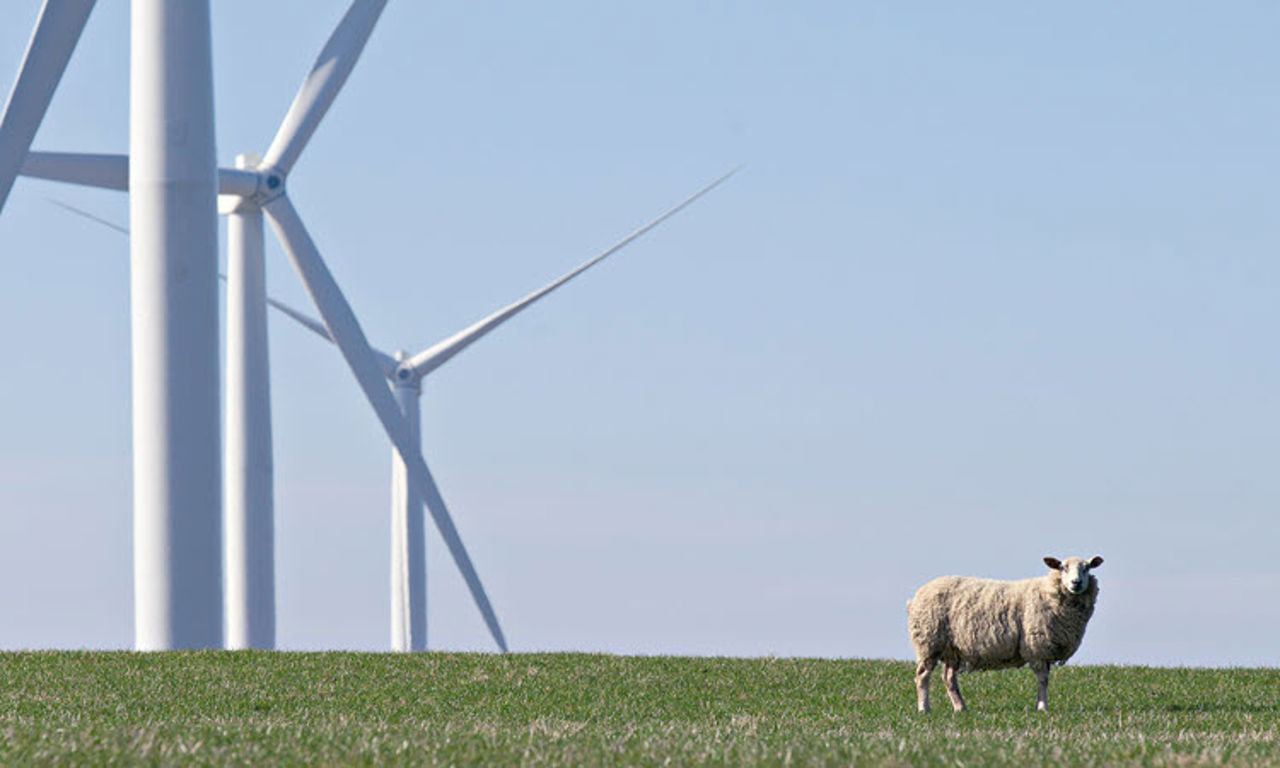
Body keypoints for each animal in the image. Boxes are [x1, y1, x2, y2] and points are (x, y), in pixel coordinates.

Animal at [906, 552, 1105, 711]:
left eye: (1087, 568)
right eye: (1063, 567)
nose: (1076, 582)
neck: (1049, 592)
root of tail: (916, 596)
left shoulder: (1045, 649)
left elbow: (1045, 679)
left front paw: (1040, 705)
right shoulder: (1037, 646)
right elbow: (1043, 679)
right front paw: (1042, 707)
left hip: (953, 649)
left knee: (948, 678)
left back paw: (960, 708)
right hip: (929, 641)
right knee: (922, 676)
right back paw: (924, 708)